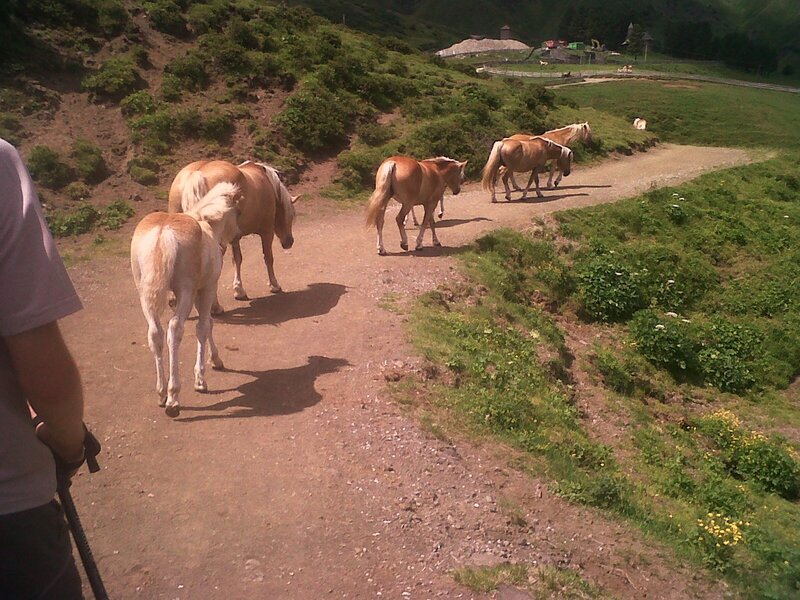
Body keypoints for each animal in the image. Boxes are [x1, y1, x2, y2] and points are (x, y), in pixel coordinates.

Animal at [131, 182, 241, 417]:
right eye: (237, 212)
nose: (237, 235)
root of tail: (163, 232)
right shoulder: (206, 289)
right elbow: (204, 326)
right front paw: (202, 377)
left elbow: (207, 324)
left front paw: (214, 360)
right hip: (185, 292)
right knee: (174, 329)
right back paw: (173, 398)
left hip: (145, 293)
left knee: (155, 333)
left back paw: (162, 393)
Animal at [168, 160, 298, 312]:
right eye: (291, 215)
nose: (289, 242)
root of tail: (196, 174)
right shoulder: (267, 232)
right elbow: (268, 258)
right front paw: (274, 285)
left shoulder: (235, 237)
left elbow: (237, 259)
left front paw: (239, 290)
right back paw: (215, 307)